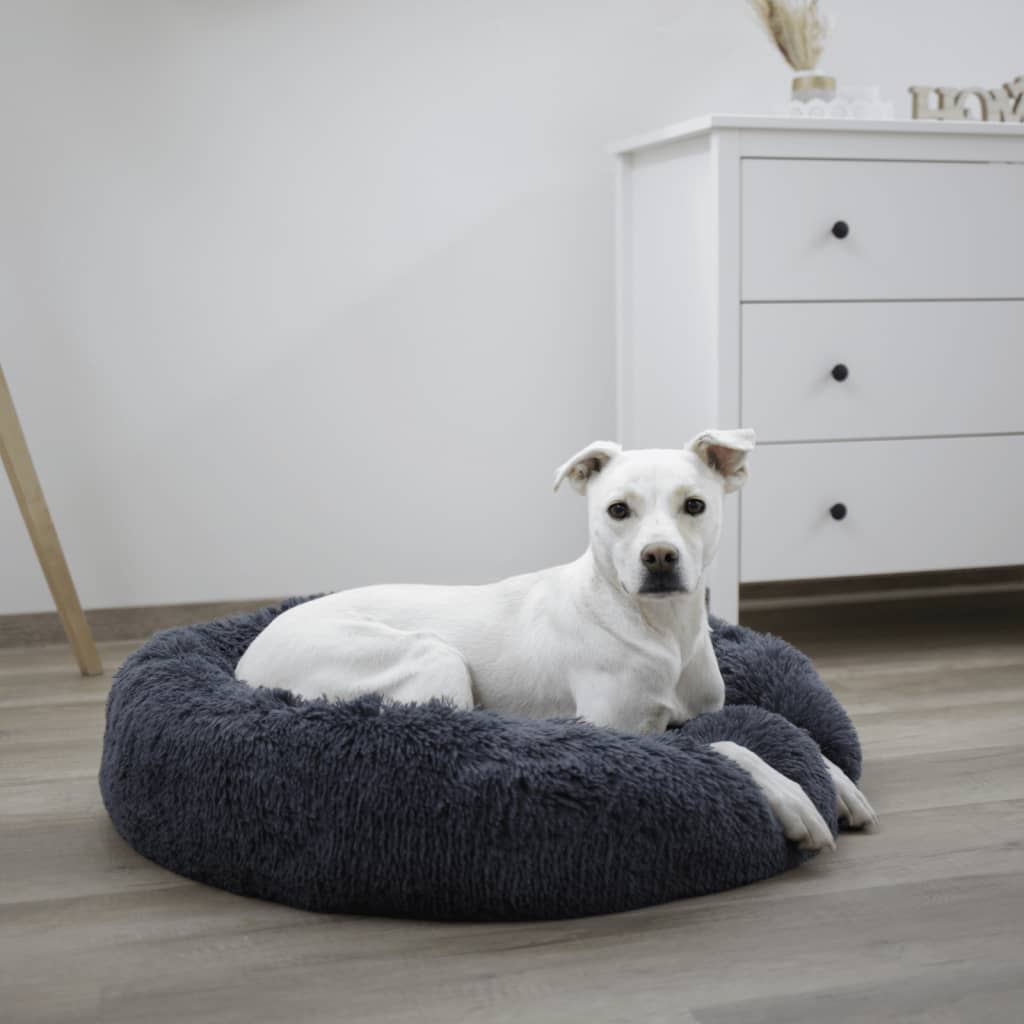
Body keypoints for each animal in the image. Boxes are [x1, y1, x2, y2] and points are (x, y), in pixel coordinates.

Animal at [235, 430, 876, 847]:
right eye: (618, 510)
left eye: (693, 505)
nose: (659, 557)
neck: (658, 628)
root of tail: (247, 658)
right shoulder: (623, 733)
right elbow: (728, 746)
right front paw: (791, 796)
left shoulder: (701, 708)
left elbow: (785, 728)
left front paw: (838, 783)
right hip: (431, 656)